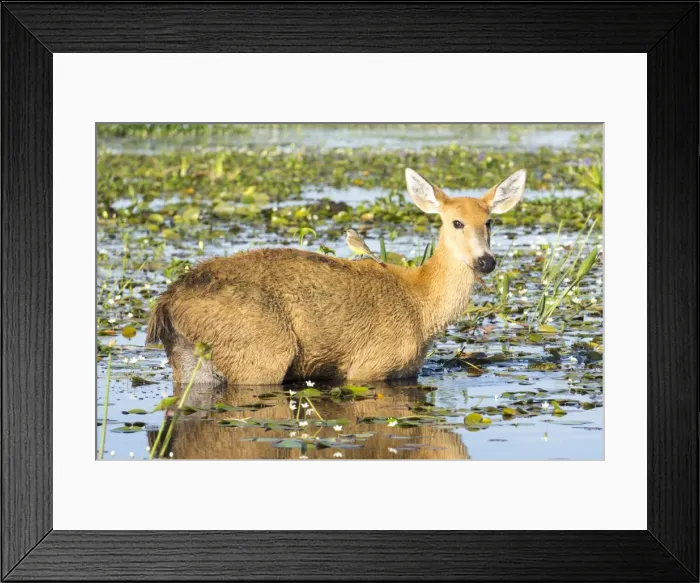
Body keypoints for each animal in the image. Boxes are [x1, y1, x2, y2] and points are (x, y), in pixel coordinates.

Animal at [146, 168, 526, 386]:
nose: (485, 261)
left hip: (190, 359)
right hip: (261, 354)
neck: (422, 305)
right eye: (455, 221)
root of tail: (167, 301)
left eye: (489, 221)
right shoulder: (368, 368)